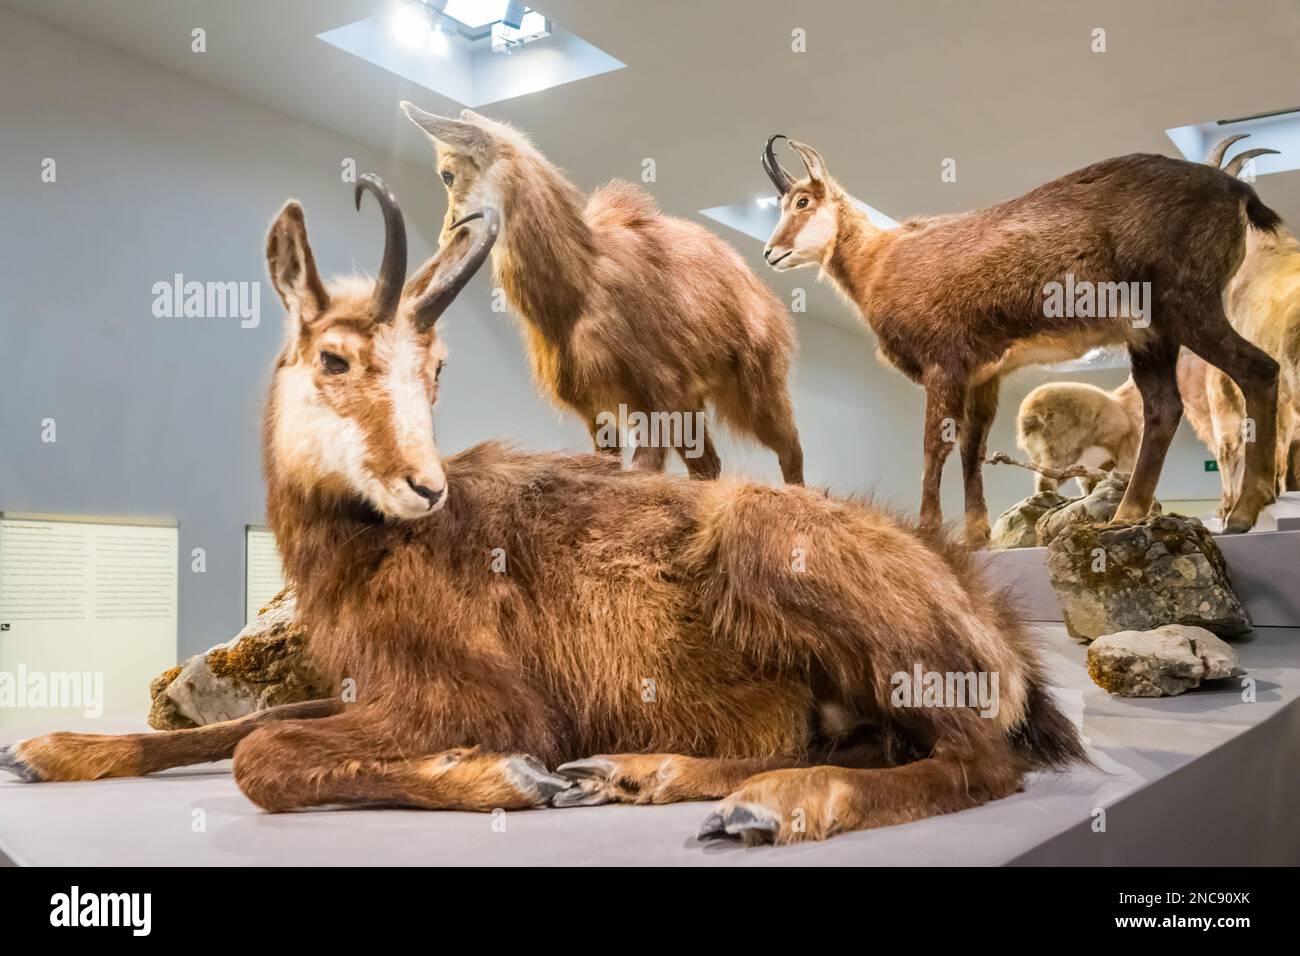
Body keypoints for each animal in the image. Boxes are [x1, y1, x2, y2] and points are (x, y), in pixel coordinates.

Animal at [0, 174, 1081, 842]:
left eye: (437, 367)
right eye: (335, 357)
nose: (423, 488)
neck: (367, 555)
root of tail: (996, 629)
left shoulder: (484, 697)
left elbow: (262, 750)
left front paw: (506, 776)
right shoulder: (370, 686)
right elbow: (250, 721)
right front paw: (51, 746)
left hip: (782, 556)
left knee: (979, 763)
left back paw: (771, 805)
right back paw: (641, 774)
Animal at [759, 135, 1279, 541]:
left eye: (803, 201)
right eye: (783, 204)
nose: (770, 252)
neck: (880, 263)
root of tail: (1236, 189)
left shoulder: (944, 364)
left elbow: (933, 445)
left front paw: (929, 530)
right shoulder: (983, 374)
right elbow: (972, 449)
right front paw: (976, 536)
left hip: (1187, 305)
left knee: (1259, 369)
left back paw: (1242, 513)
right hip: (1152, 334)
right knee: (1164, 408)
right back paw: (1127, 514)